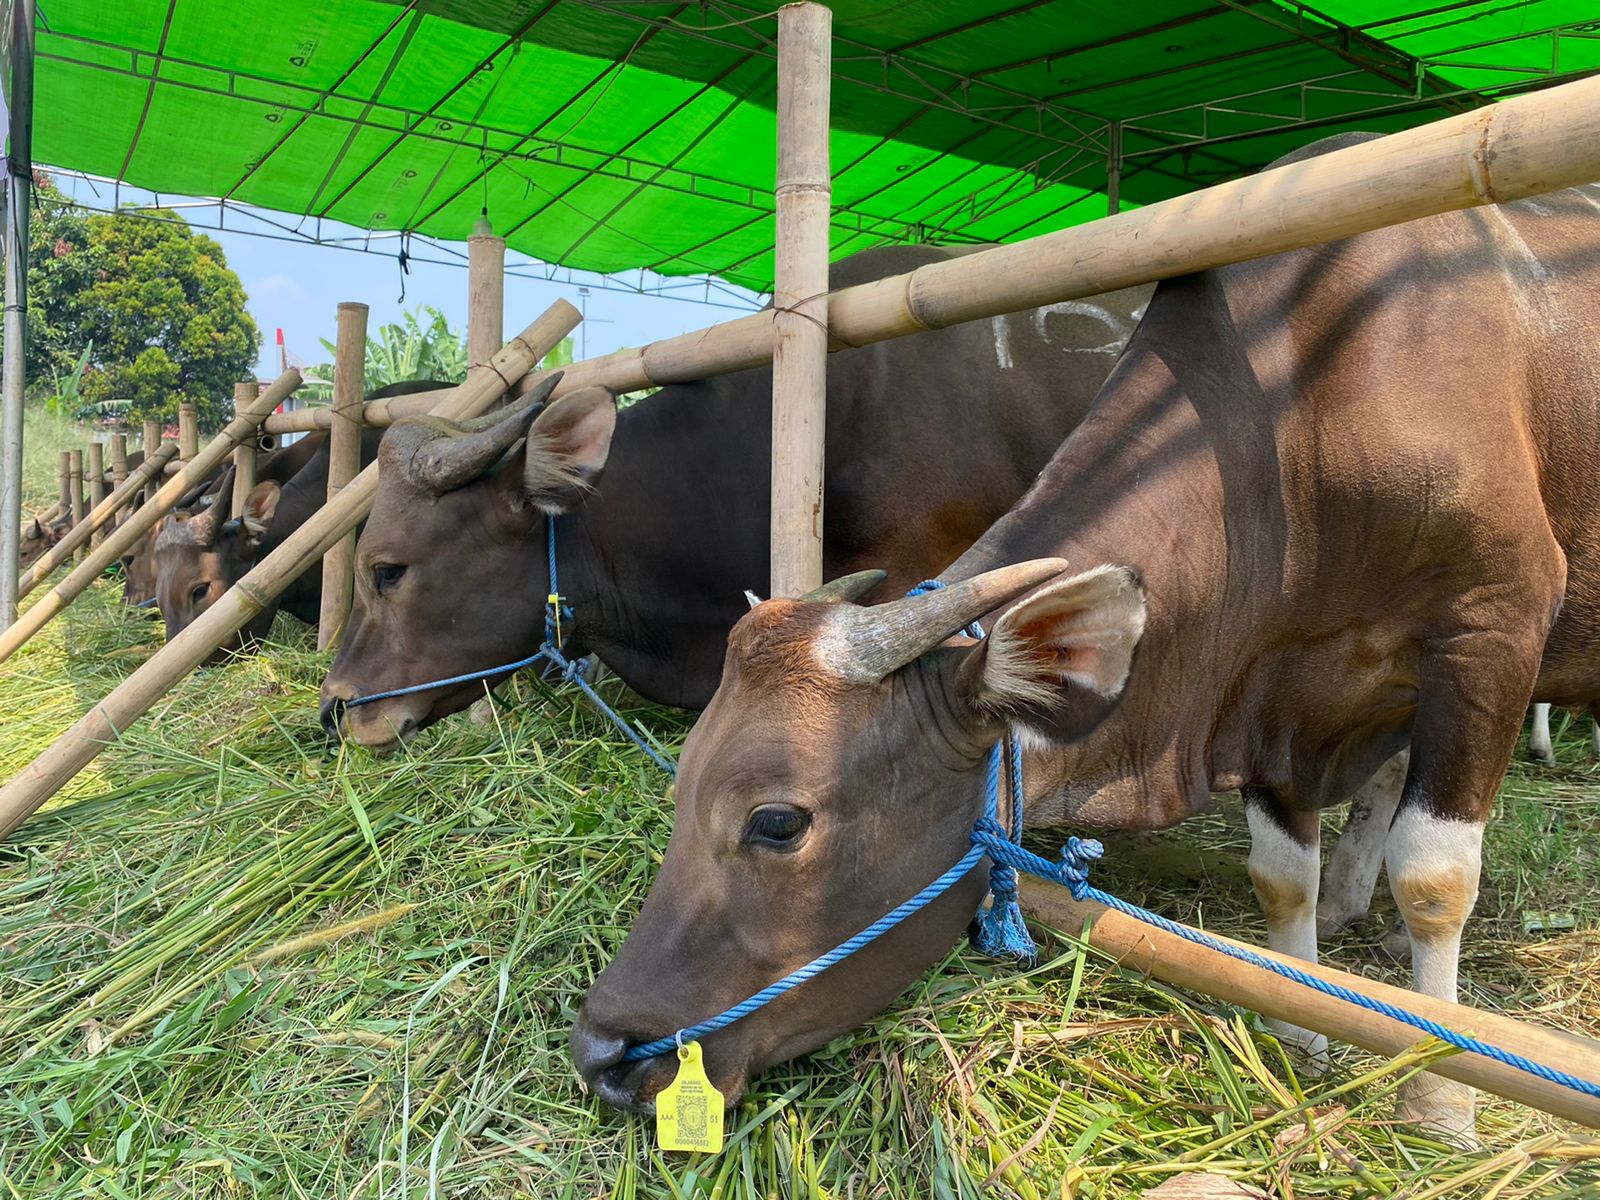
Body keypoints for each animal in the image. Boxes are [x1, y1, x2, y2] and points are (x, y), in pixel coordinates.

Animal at [572, 136, 1600, 1139]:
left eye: (778, 821)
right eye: (683, 779)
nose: (601, 1050)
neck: (1303, 422)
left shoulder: (1490, 634)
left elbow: (1434, 879)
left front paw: (1440, 1102)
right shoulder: (1271, 690)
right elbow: (1281, 877)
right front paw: (1301, 1033)